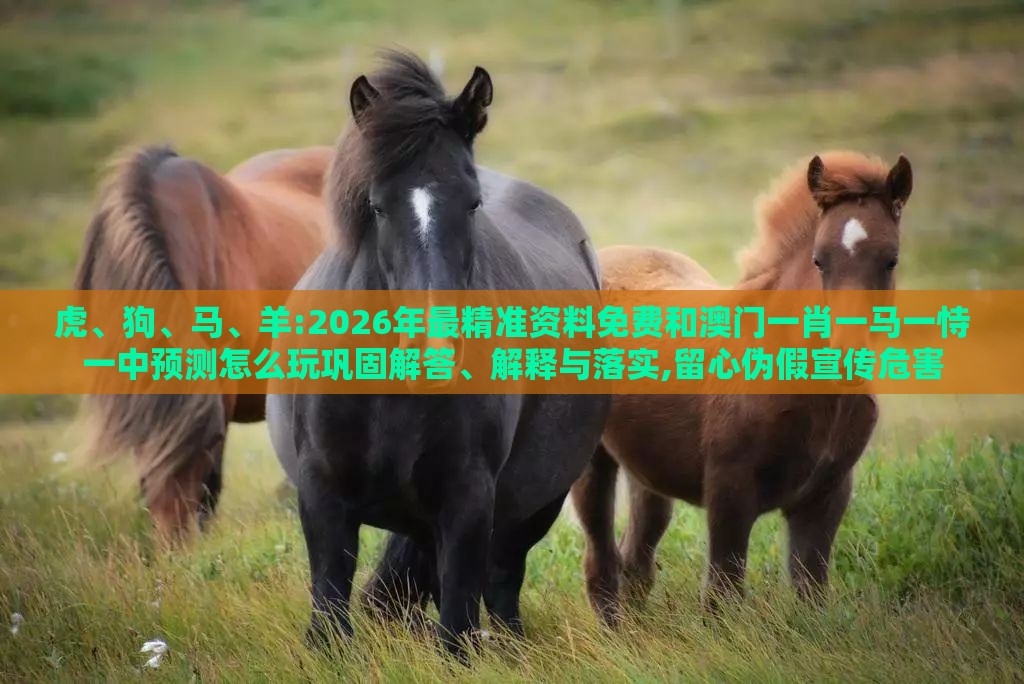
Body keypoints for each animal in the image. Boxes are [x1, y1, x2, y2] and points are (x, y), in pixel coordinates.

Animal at [266, 51, 609, 658]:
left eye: (472, 204)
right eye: (377, 207)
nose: (434, 351)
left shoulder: (469, 498)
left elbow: (457, 623)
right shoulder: (322, 492)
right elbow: (330, 605)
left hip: (534, 503)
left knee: (501, 585)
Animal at [571, 151, 913, 625]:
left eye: (891, 260)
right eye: (819, 260)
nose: (846, 347)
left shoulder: (827, 494)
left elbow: (810, 589)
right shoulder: (729, 489)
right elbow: (722, 592)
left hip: (648, 468)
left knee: (636, 558)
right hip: (591, 461)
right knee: (600, 560)